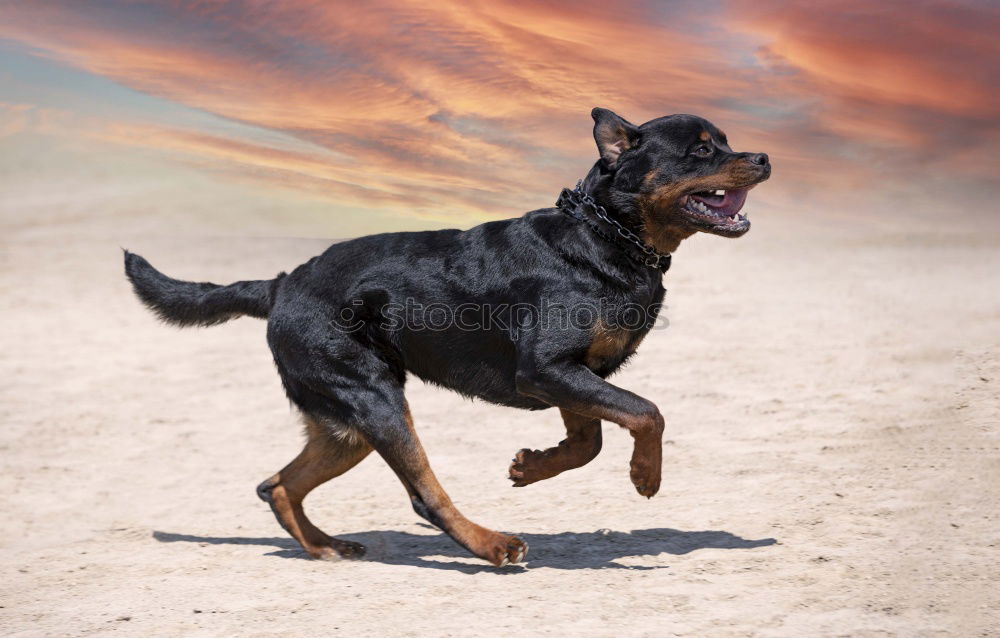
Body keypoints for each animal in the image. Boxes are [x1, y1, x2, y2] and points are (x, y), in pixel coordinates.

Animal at [123, 110, 764, 568]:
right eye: (701, 150)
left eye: (725, 141)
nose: (762, 157)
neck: (606, 235)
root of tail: (281, 284)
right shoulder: (547, 369)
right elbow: (646, 412)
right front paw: (645, 476)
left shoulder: (572, 375)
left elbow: (591, 441)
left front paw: (529, 468)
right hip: (375, 400)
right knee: (421, 493)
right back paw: (492, 545)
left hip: (344, 424)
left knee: (277, 484)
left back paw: (325, 545)